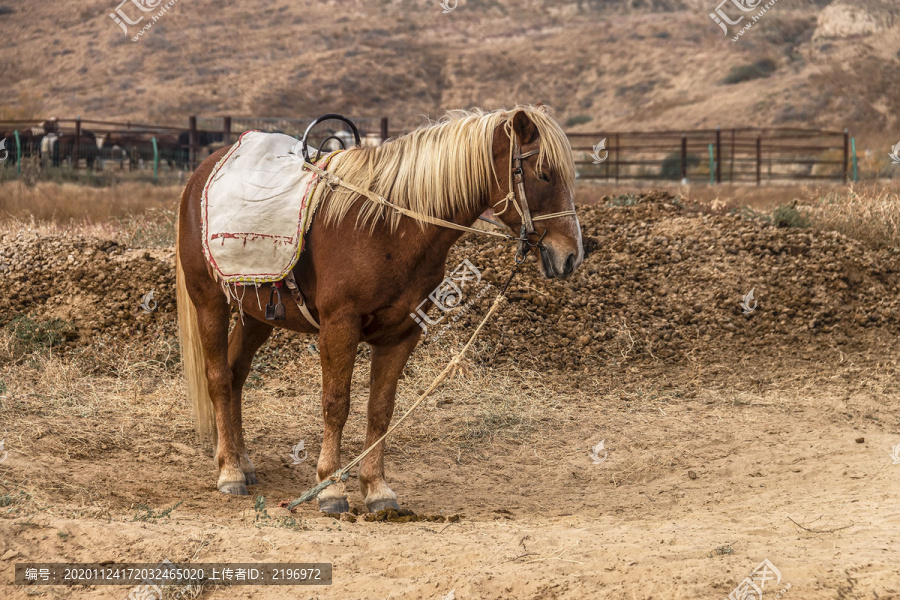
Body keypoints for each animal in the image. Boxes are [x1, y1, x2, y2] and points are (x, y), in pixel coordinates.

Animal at [176, 105, 584, 512]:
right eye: (544, 174)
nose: (571, 256)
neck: (387, 225)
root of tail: (200, 173)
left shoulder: (402, 333)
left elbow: (381, 408)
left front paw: (375, 487)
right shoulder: (340, 325)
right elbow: (336, 403)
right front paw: (330, 486)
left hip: (256, 313)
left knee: (236, 373)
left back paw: (243, 462)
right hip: (209, 302)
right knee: (219, 377)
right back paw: (229, 470)